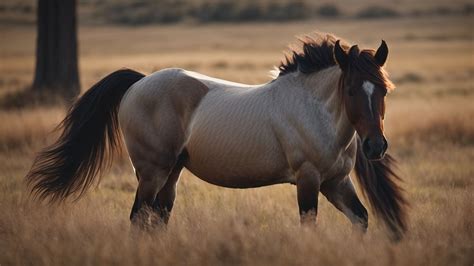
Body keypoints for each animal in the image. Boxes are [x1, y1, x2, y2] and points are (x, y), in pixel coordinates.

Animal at [25, 33, 408, 239]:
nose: (375, 146)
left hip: (172, 174)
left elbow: (361, 219)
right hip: (151, 172)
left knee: (157, 219)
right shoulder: (308, 180)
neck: (314, 111)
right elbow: (308, 224)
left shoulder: (336, 182)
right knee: (138, 219)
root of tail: (139, 82)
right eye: (351, 90)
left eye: (383, 90)